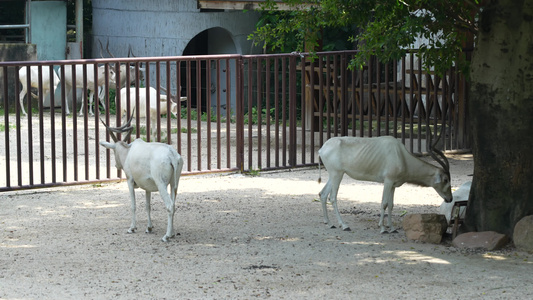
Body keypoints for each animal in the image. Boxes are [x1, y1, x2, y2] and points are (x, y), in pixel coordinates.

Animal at [98, 113, 184, 243]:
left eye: (114, 151)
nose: (116, 165)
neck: (128, 152)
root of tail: (172, 155)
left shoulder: (129, 181)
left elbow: (133, 205)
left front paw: (132, 228)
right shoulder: (147, 187)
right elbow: (148, 206)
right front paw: (149, 228)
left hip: (161, 184)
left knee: (169, 205)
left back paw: (166, 236)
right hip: (174, 184)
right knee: (173, 205)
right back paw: (172, 233)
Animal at [318, 132, 450, 233]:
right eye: (445, 180)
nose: (449, 199)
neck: (401, 155)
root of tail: (322, 149)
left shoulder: (393, 185)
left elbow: (391, 205)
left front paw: (392, 228)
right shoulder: (388, 181)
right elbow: (384, 203)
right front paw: (382, 228)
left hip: (333, 175)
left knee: (323, 194)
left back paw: (329, 223)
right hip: (337, 174)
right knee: (332, 197)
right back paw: (344, 225)